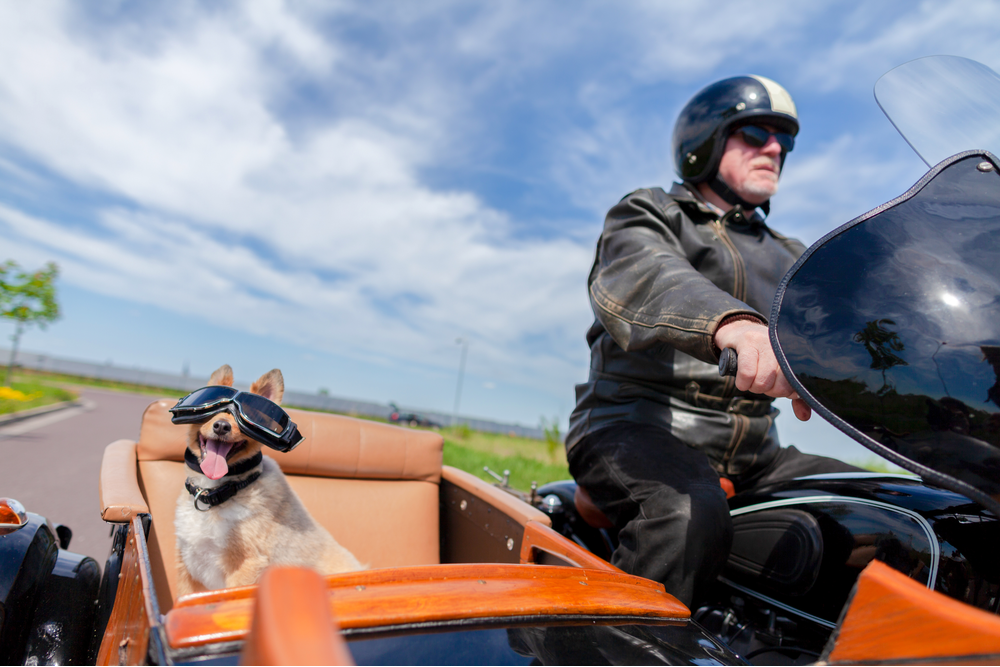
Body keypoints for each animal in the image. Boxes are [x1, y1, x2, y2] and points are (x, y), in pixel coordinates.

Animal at [175, 366, 364, 596]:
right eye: (210, 406)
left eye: (251, 417)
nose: (221, 426)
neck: (218, 491)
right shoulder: (187, 568)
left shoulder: (246, 566)